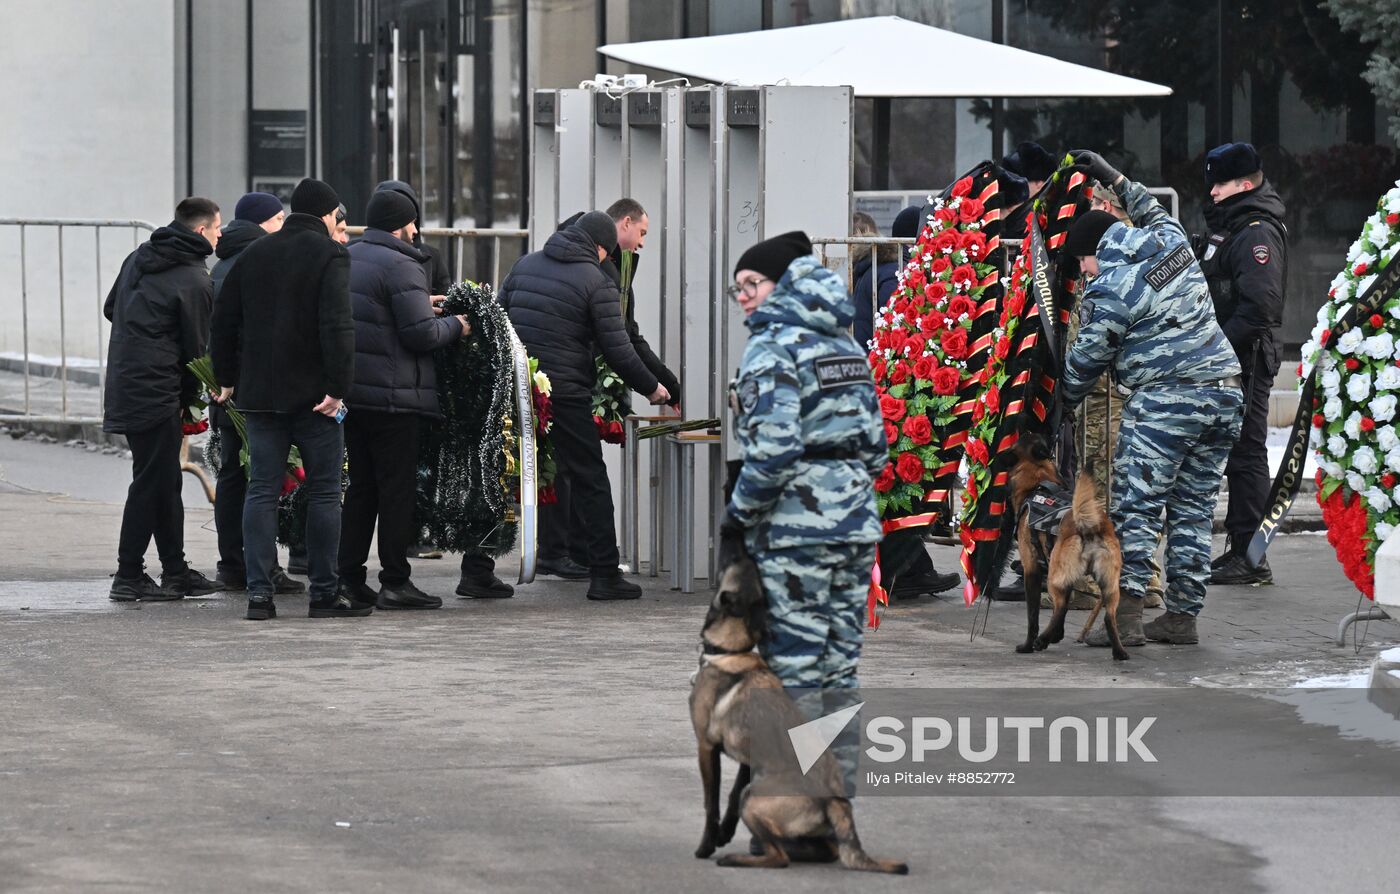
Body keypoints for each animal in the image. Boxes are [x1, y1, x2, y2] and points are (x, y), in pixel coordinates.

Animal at [688, 559, 907, 873]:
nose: (749, 554)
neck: (732, 651)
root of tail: (835, 801)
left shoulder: (705, 748)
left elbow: (712, 803)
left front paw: (707, 845)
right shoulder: (748, 759)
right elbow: (729, 799)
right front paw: (724, 833)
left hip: (753, 799)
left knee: (780, 858)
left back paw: (737, 858)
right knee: (824, 849)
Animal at [1008, 436, 1125, 660]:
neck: (1038, 483)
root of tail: (1090, 526)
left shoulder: (1032, 569)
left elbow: (1033, 616)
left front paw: (1030, 644)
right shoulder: (1068, 577)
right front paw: (1057, 634)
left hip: (1053, 576)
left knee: (1061, 606)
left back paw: (1040, 641)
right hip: (1109, 585)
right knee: (1109, 616)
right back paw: (1120, 652)